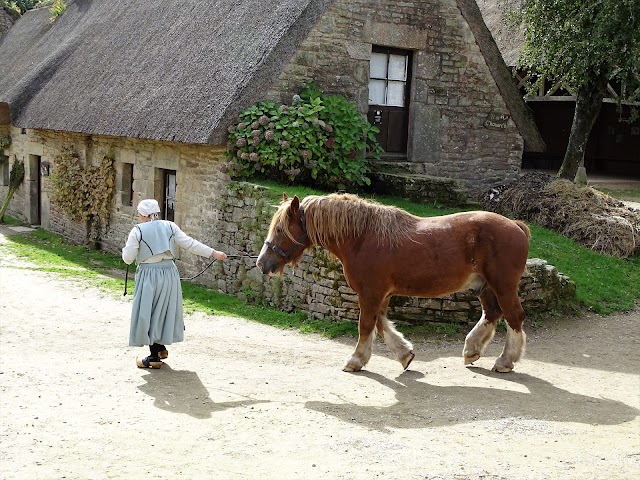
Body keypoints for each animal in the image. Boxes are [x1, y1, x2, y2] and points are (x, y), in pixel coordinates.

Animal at [255, 193, 528, 374]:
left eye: (280, 230)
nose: (262, 263)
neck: (361, 237)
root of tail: (515, 225)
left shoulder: (370, 293)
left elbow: (366, 325)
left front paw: (356, 360)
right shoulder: (380, 294)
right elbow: (380, 323)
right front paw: (405, 355)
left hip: (503, 286)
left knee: (513, 316)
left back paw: (505, 361)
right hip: (485, 286)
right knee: (492, 313)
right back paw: (472, 350)